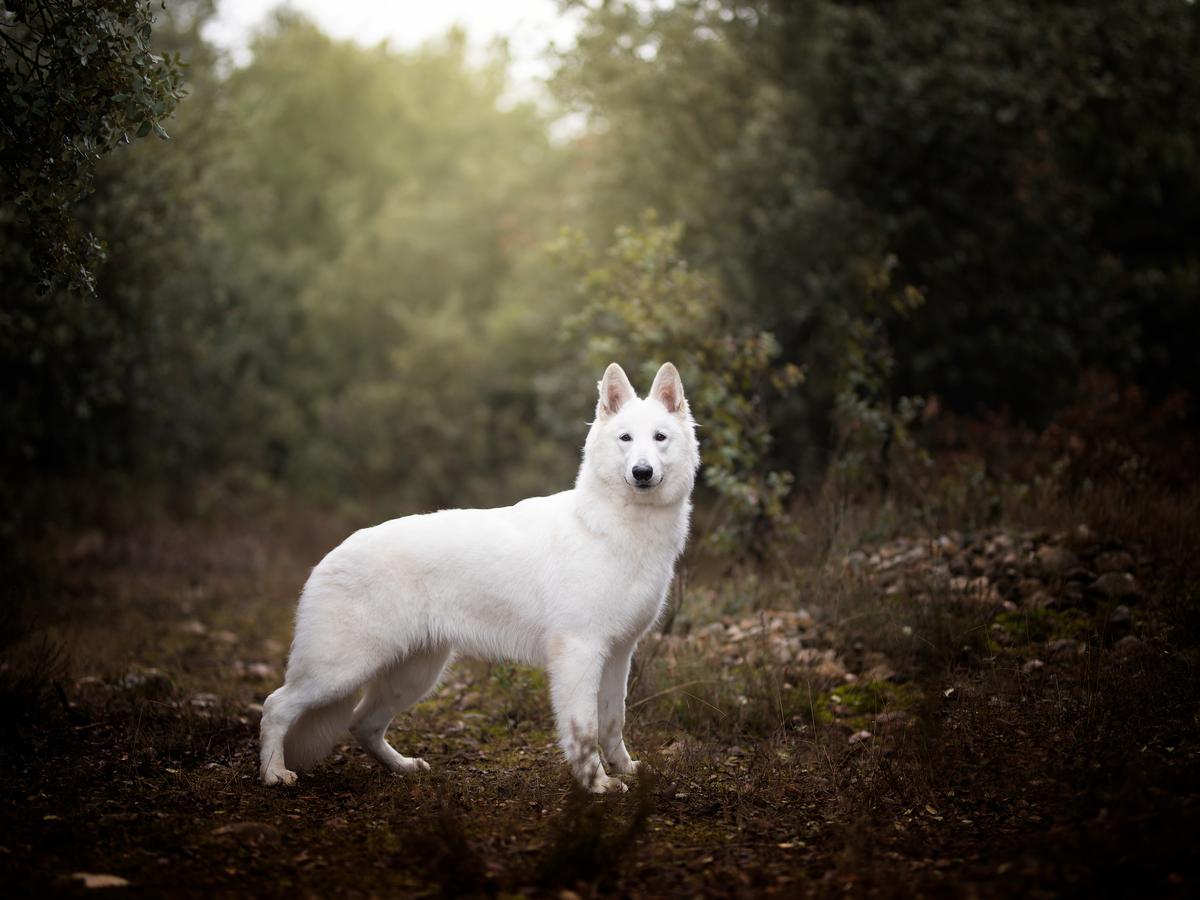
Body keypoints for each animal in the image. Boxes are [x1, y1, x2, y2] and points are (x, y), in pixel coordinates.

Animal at [258, 362, 700, 792]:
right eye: (625, 438)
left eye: (659, 437)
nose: (642, 472)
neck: (619, 525)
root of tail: (327, 557)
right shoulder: (580, 651)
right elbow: (584, 728)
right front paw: (596, 783)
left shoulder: (618, 654)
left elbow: (612, 722)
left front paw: (625, 770)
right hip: (340, 670)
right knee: (275, 706)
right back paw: (273, 774)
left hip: (414, 674)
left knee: (362, 724)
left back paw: (403, 767)